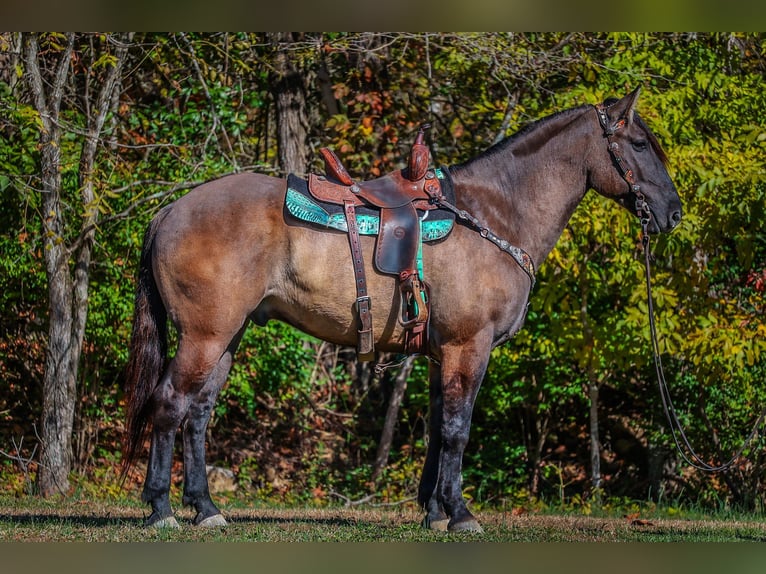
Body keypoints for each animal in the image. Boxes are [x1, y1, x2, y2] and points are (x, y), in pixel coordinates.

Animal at [122, 88, 682, 532]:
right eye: (638, 145)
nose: (674, 213)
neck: (495, 213)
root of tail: (170, 211)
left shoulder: (441, 353)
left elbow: (438, 428)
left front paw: (434, 512)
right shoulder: (468, 347)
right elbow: (458, 429)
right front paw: (460, 514)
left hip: (226, 338)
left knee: (197, 413)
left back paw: (206, 508)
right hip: (205, 337)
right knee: (169, 404)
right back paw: (162, 509)